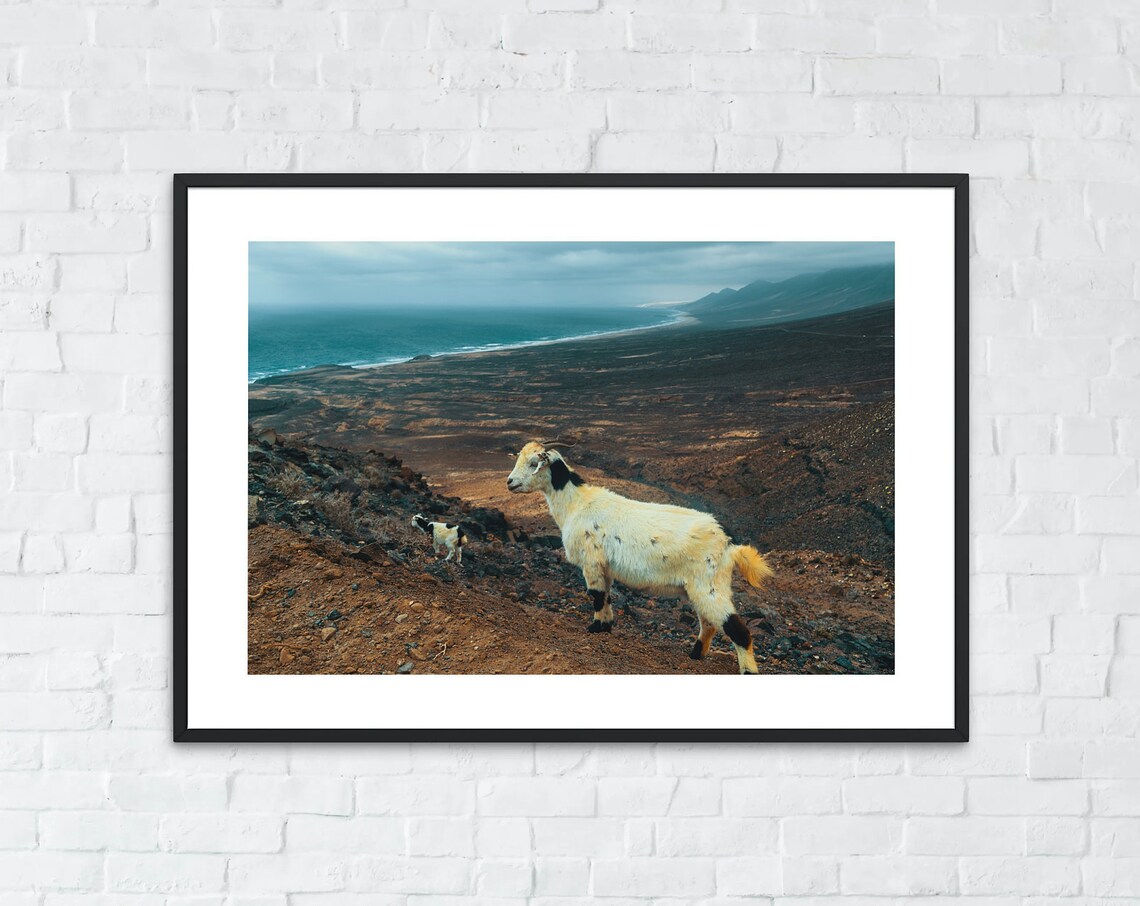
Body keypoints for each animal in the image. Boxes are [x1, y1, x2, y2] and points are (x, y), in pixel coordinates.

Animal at [506, 441, 772, 674]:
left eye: (534, 463)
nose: (510, 482)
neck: (576, 503)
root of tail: (729, 544)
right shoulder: (605, 567)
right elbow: (606, 596)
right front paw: (606, 626)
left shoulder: (591, 561)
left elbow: (596, 596)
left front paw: (594, 627)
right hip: (702, 588)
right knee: (708, 624)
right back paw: (695, 654)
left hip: (709, 585)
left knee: (736, 629)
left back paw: (747, 670)